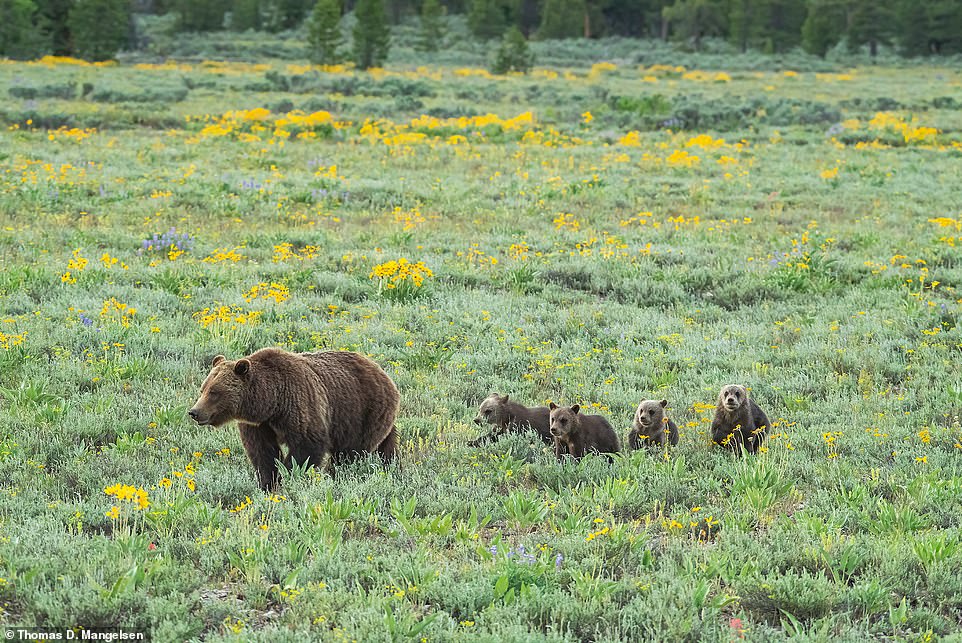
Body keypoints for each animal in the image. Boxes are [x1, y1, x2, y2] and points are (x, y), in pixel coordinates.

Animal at [188, 350, 398, 490]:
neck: (272, 402)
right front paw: (268, 483)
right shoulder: (259, 425)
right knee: (386, 447)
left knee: (351, 452)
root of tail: (384, 373)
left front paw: (289, 476)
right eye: (203, 389)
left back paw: (336, 475)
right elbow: (263, 452)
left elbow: (306, 446)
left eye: (214, 392)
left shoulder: (300, 405)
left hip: (361, 413)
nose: (194, 412)